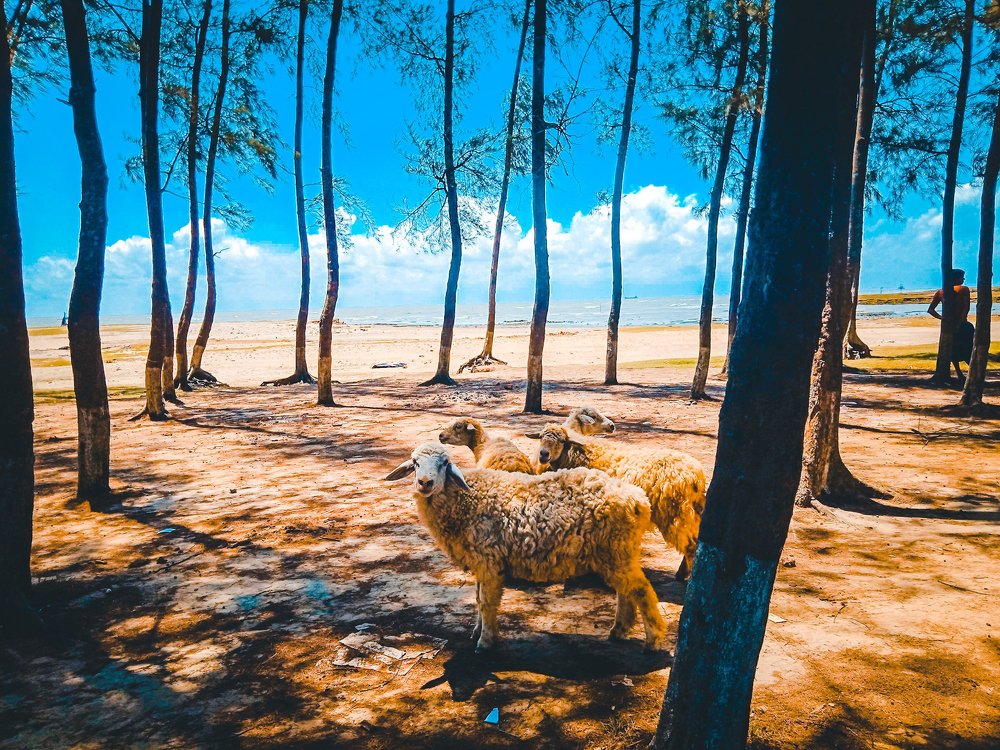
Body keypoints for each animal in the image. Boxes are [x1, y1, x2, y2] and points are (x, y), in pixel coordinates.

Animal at [384, 442, 669, 653]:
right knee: (626, 591)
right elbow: (477, 599)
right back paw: (619, 630)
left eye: (444, 463)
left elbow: (486, 602)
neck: (466, 499)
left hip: (616, 550)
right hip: (616, 552)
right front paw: (477, 631)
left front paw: (485, 641)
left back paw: (653, 639)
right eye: (415, 463)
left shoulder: (489, 562)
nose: (425, 483)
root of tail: (638, 500)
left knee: (640, 590)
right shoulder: (482, 563)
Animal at [527, 425, 706, 582]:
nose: (543, 454)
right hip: (692, 512)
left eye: (562, 441)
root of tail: (697, 476)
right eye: (541, 437)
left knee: (691, 545)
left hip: (676, 513)